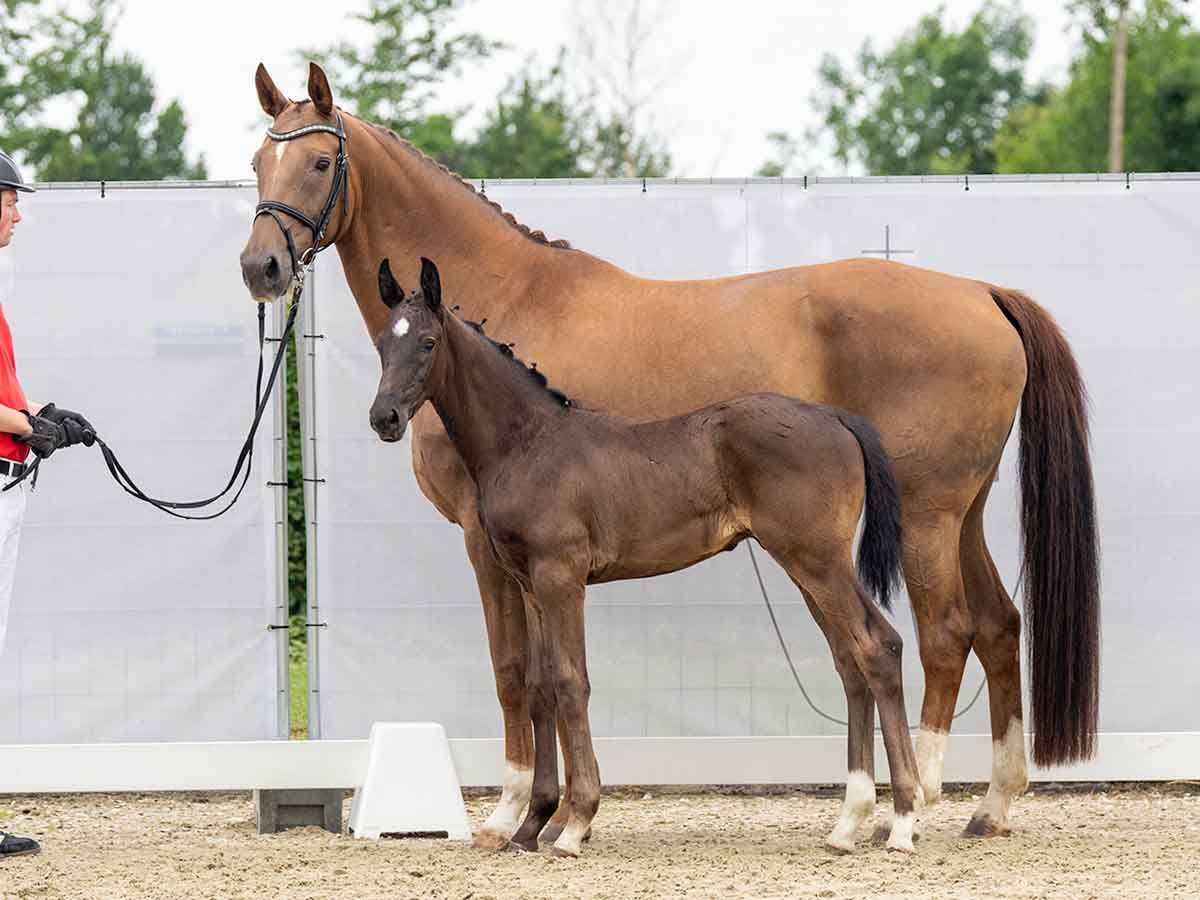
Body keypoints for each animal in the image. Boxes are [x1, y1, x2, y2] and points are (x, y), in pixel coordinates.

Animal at [369, 256, 919, 856]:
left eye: (427, 342)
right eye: (383, 342)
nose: (384, 418)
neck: (528, 444)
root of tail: (836, 417)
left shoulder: (561, 577)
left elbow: (571, 682)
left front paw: (574, 824)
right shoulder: (529, 583)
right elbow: (540, 688)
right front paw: (533, 824)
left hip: (818, 560)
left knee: (878, 647)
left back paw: (904, 821)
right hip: (806, 565)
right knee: (850, 661)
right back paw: (848, 824)